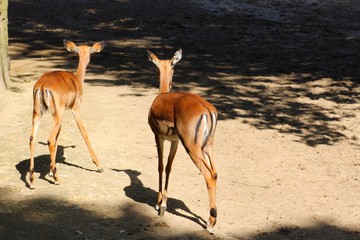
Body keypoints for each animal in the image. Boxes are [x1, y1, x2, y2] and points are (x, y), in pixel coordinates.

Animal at [28, 39, 105, 189]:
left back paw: (33, 181)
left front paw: (51, 170)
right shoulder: (75, 109)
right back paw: (57, 179)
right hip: (57, 115)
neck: (76, 79)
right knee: (50, 139)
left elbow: (59, 137)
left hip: (38, 114)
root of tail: (42, 85)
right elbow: (84, 133)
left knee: (32, 139)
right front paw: (99, 166)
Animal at [147, 49, 219, 233]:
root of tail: (207, 110)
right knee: (215, 173)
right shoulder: (175, 141)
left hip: (192, 149)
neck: (162, 96)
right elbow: (169, 167)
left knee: (209, 175)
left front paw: (159, 205)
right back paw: (211, 220)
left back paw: (210, 224)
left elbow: (160, 166)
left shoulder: (158, 137)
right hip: (207, 148)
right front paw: (163, 204)